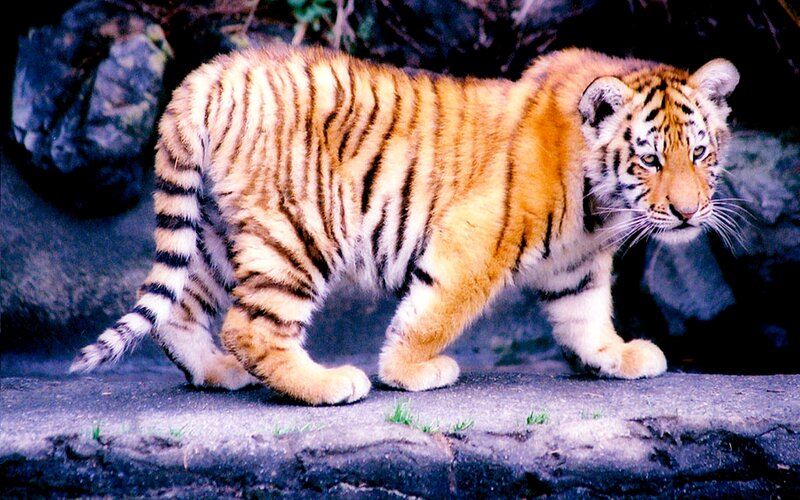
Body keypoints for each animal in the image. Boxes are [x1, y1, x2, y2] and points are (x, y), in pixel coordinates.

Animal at [69, 45, 739, 405]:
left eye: (699, 153)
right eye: (650, 159)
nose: (688, 211)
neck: (601, 205)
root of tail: (215, 70)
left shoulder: (574, 261)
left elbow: (586, 313)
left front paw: (616, 355)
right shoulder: (474, 235)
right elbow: (434, 309)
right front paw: (408, 372)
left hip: (214, 229)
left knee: (181, 309)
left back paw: (216, 374)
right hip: (297, 230)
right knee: (250, 325)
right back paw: (329, 384)